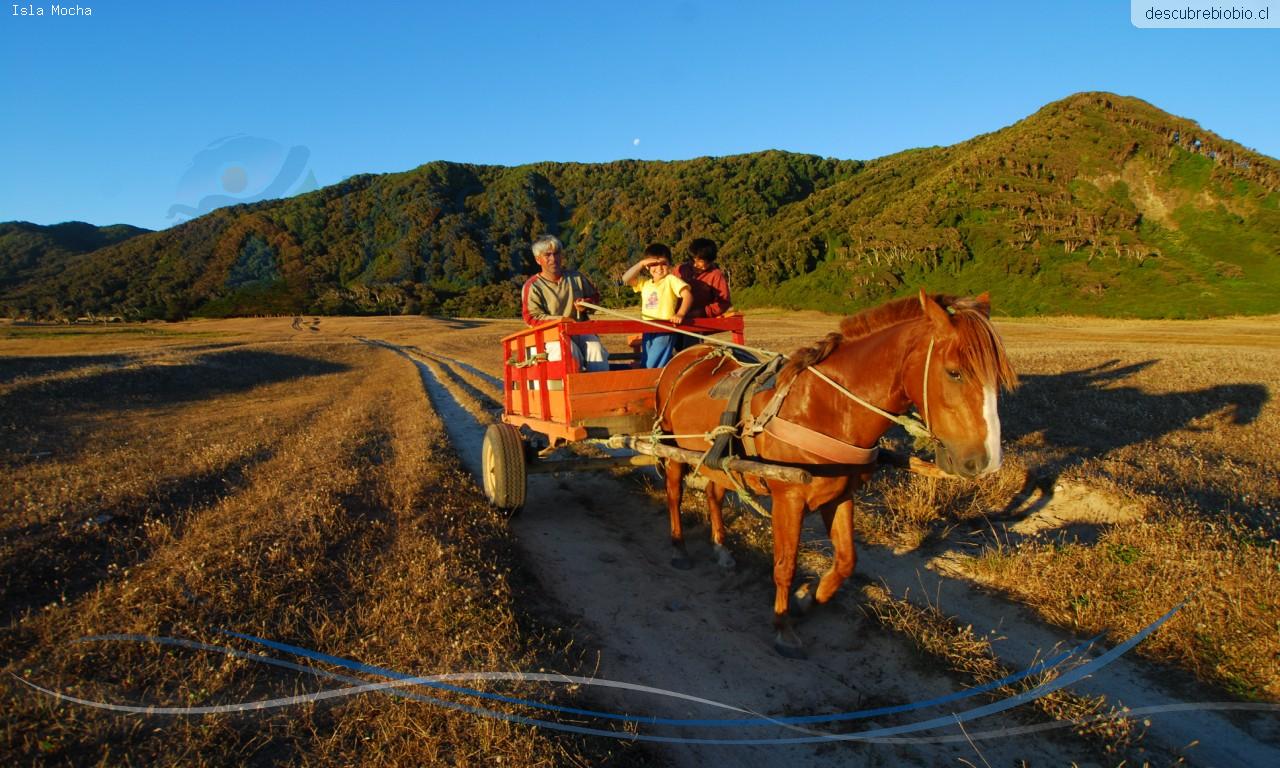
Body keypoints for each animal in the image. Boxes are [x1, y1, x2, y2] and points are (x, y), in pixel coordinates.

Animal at [654, 289, 1018, 657]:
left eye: (999, 378)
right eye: (954, 372)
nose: (986, 461)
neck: (827, 408)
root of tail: (688, 355)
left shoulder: (841, 494)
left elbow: (846, 561)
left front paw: (808, 599)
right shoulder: (789, 500)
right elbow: (785, 565)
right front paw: (783, 625)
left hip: (716, 461)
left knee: (714, 493)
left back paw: (721, 549)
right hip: (671, 447)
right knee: (674, 494)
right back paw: (679, 547)